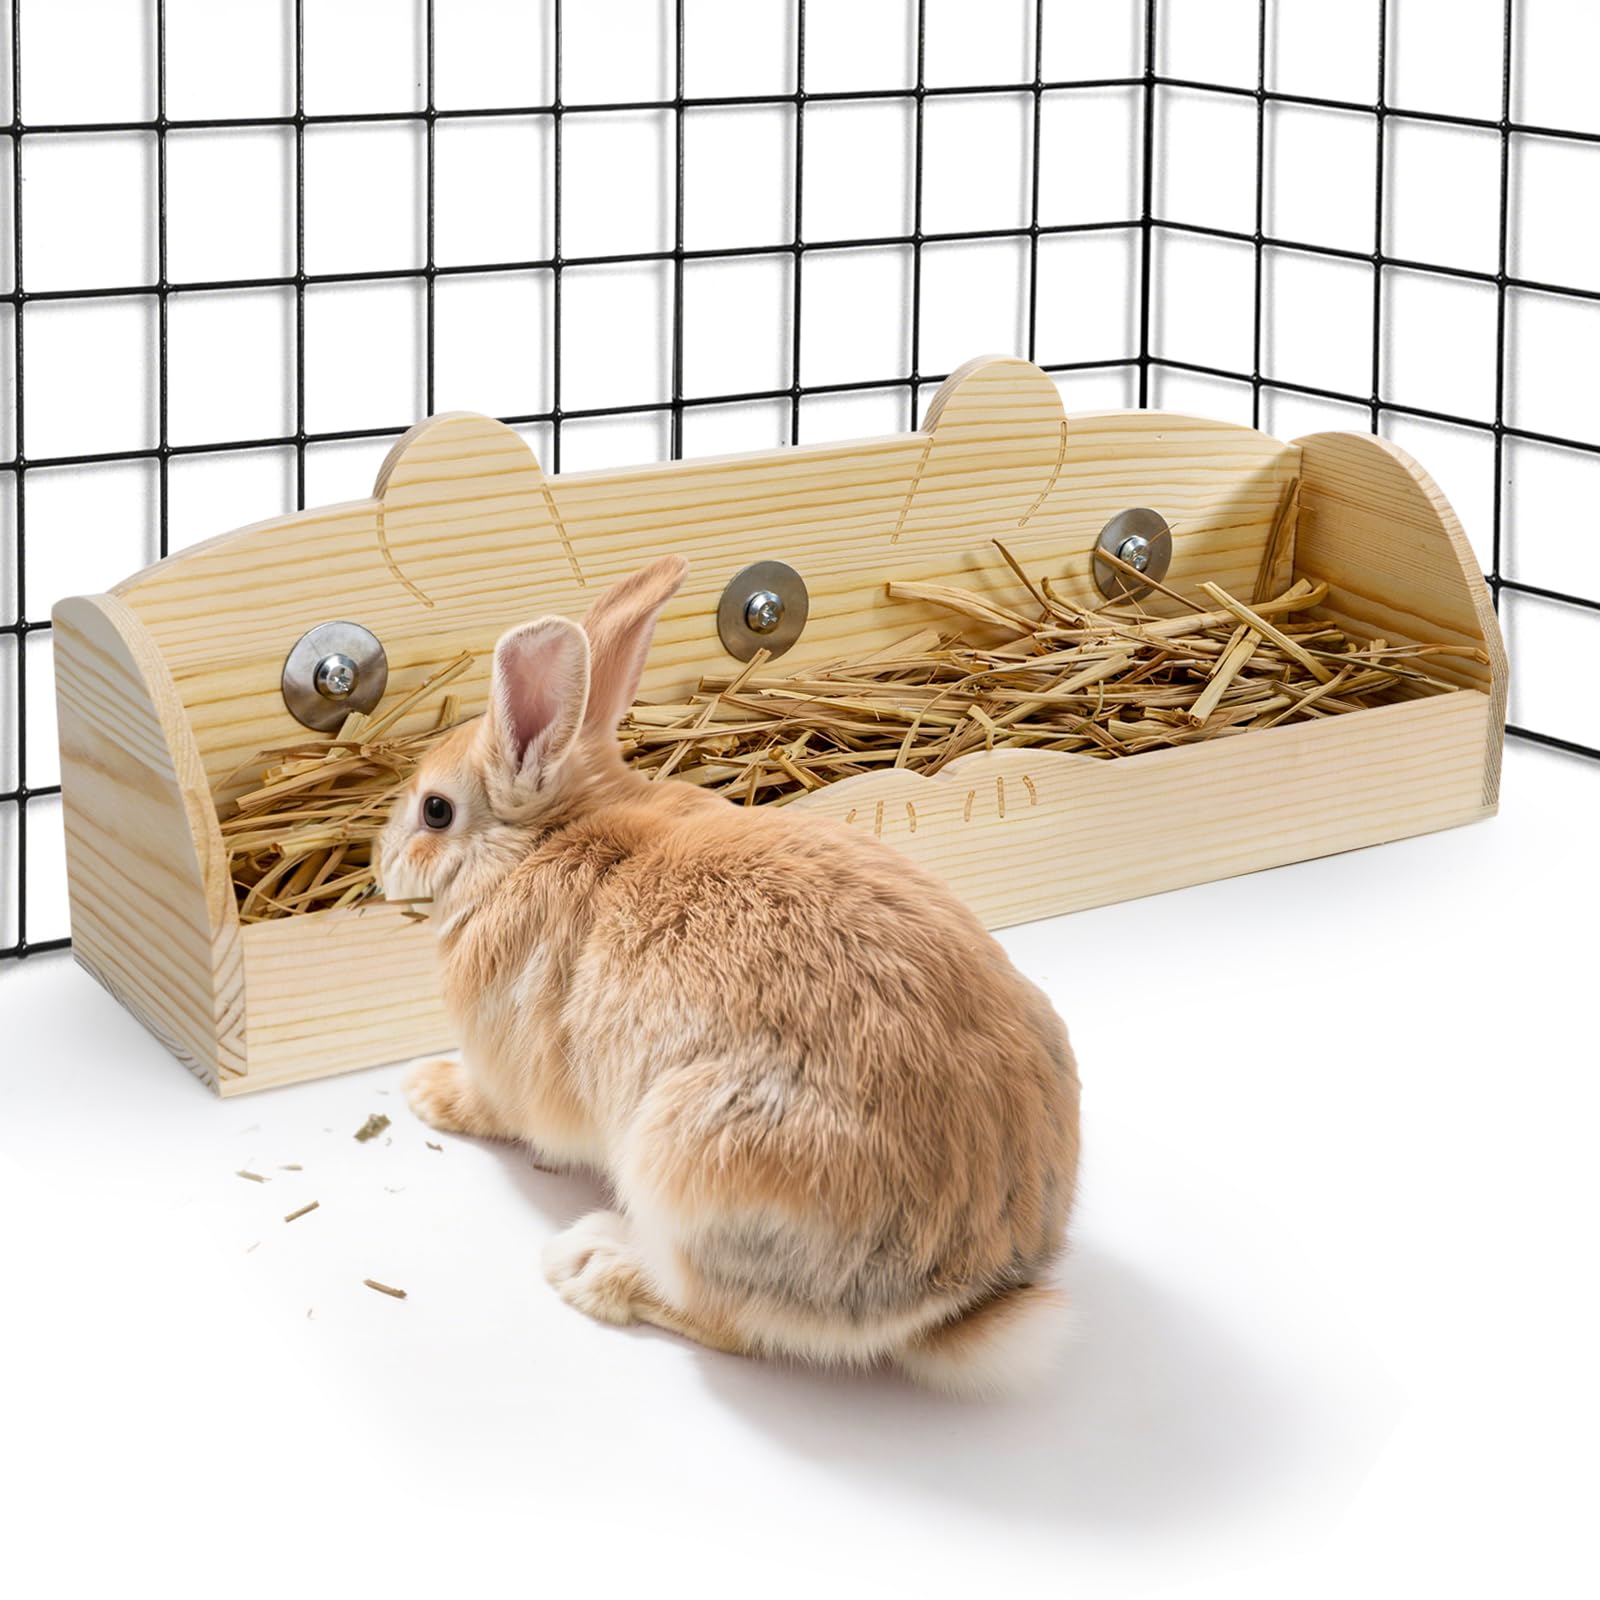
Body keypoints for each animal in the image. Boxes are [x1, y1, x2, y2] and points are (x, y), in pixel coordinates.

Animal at [379, 555, 1081, 1397]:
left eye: (436, 811)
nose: (380, 867)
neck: (544, 840)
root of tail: (962, 1298)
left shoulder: (506, 1072)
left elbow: (489, 1107)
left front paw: (426, 1090)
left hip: (691, 1170)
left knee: (724, 1322)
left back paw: (593, 1265)